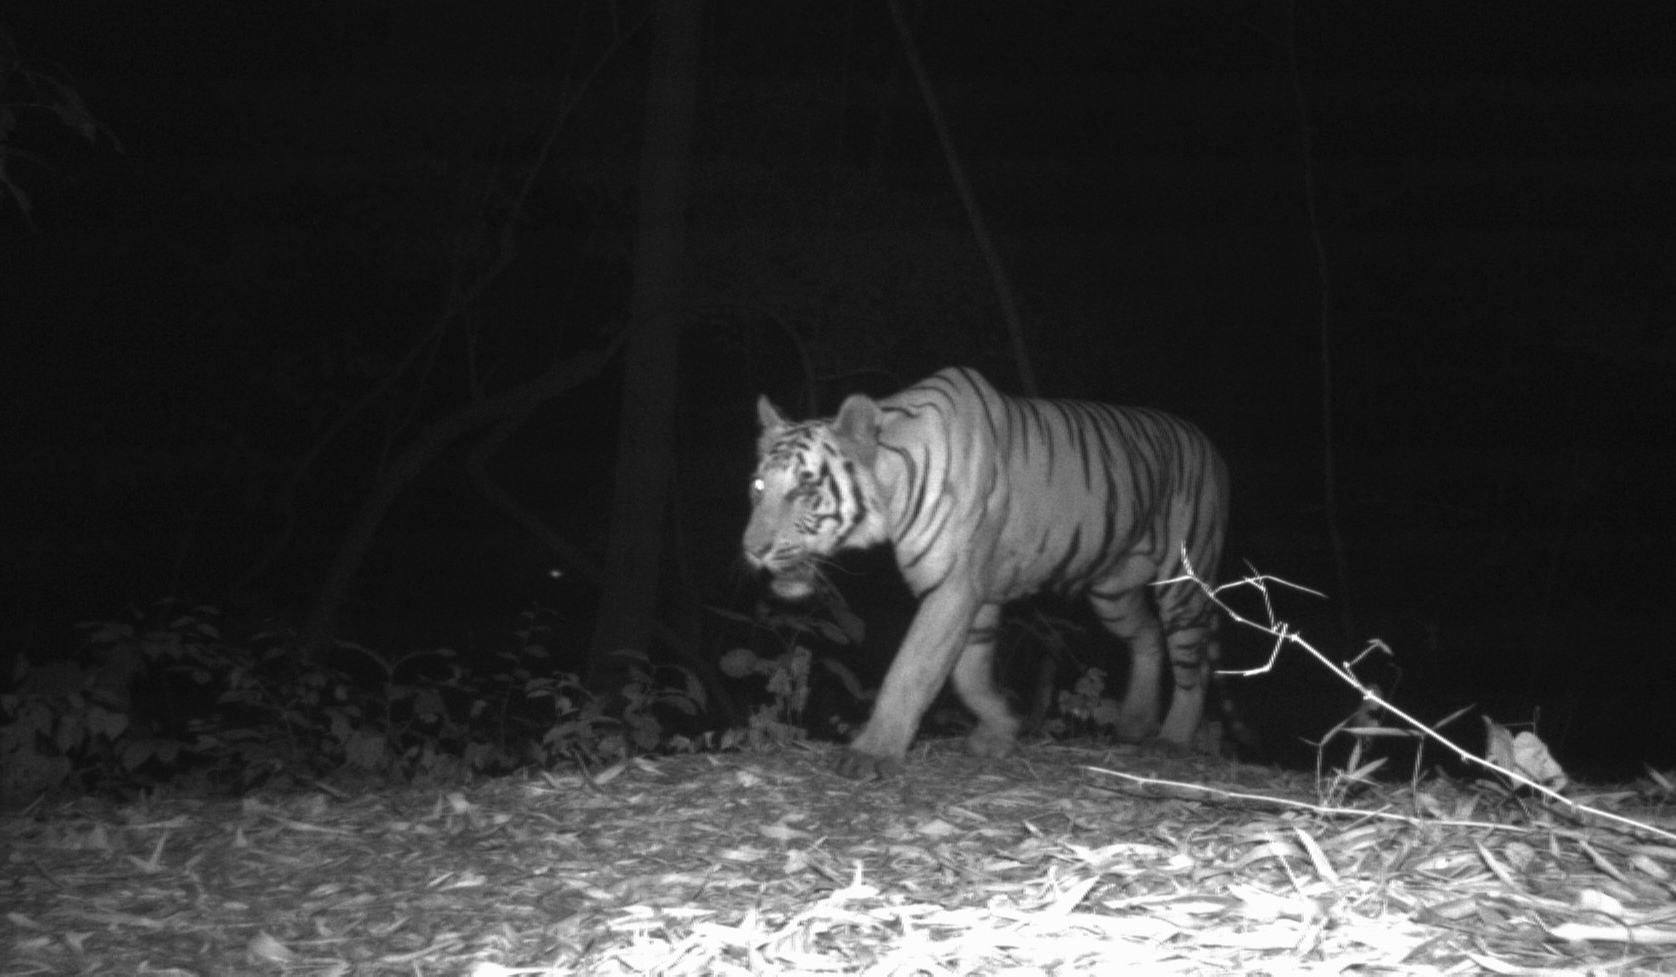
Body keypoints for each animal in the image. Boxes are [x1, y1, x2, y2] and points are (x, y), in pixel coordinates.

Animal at [744, 366, 1230, 779]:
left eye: (804, 489)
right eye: (759, 486)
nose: (752, 550)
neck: (892, 489)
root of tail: (1208, 445)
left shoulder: (953, 586)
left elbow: (912, 668)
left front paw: (872, 753)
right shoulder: (976, 596)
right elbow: (969, 674)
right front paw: (1002, 727)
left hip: (1184, 578)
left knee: (1194, 663)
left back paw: (1173, 738)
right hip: (1113, 592)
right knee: (1148, 637)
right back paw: (1136, 721)